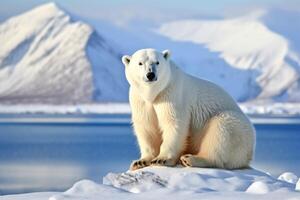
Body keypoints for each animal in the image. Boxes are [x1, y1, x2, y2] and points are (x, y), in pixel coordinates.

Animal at [122, 48, 255, 170]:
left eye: (157, 62)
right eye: (140, 63)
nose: (150, 75)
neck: (154, 94)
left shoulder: (172, 94)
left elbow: (173, 123)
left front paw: (162, 159)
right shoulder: (140, 100)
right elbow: (146, 127)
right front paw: (141, 161)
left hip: (238, 130)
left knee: (222, 129)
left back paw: (190, 159)